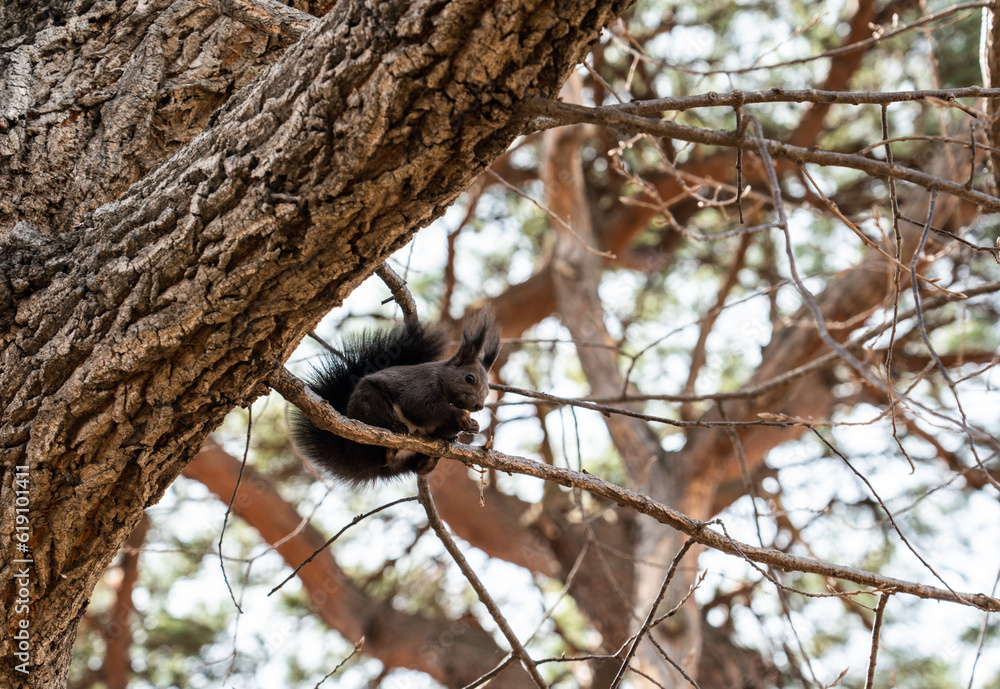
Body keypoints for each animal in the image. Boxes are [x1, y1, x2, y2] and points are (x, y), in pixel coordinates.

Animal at [291, 310, 501, 484]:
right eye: (469, 378)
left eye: (488, 391)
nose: (479, 406)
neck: (441, 379)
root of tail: (353, 457)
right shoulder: (420, 387)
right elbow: (421, 409)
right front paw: (460, 415)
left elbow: (437, 428)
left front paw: (472, 426)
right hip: (369, 402)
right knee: (379, 445)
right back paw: (394, 431)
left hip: (405, 461)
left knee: (416, 467)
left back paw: (431, 457)